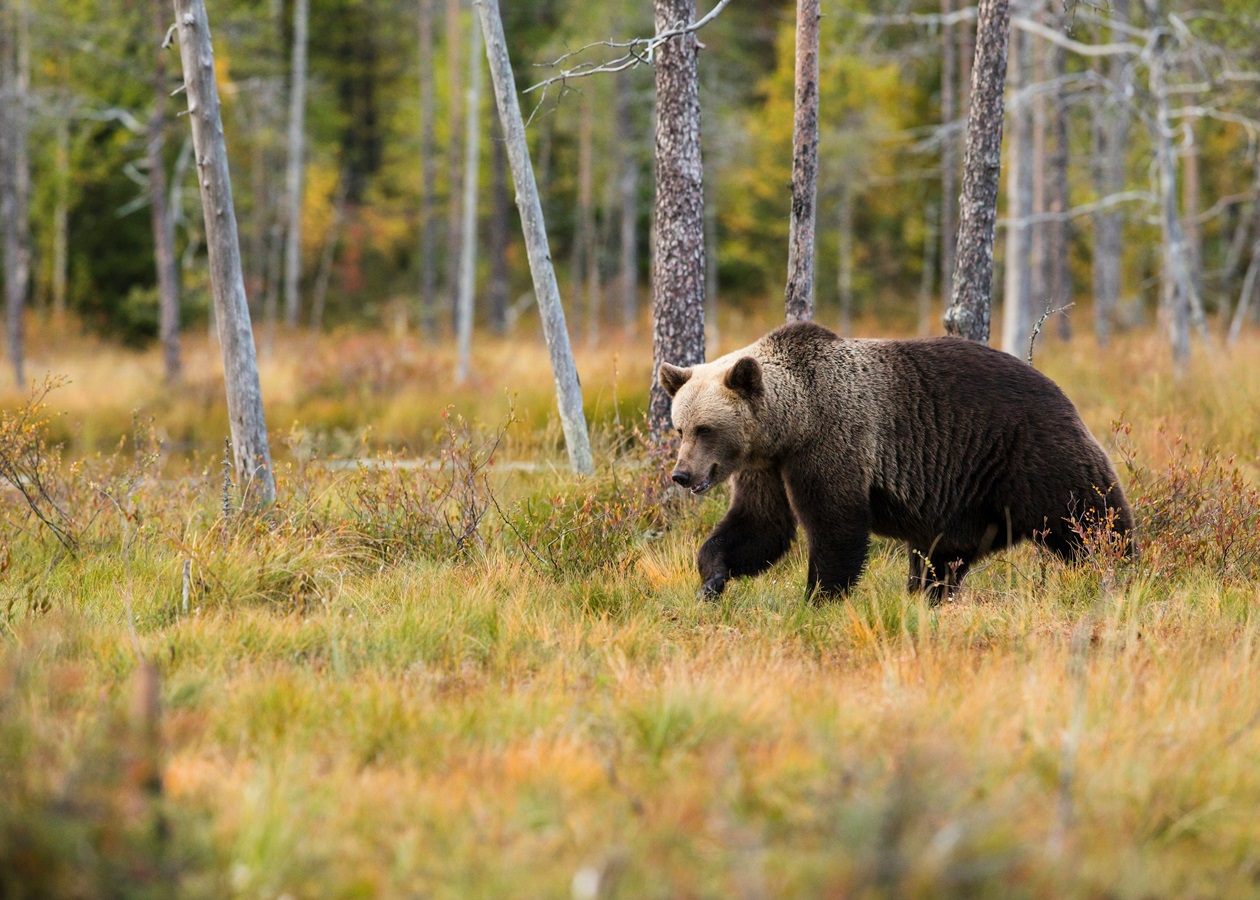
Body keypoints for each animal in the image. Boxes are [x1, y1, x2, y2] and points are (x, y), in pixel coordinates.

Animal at [660, 318, 1134, 600]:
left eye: (706, 429)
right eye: (680, 427)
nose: (682, 474)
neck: (792, 424)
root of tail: (1060, 391)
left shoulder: (834, 441)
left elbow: (836, 526)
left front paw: (818, 597)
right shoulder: (767, 467)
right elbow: (759, 526)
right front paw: (712, 579)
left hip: (1032, 454)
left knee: (1091, 518)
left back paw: (1121, 570)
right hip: (966, 501)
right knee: (942, 558)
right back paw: (929, 595)